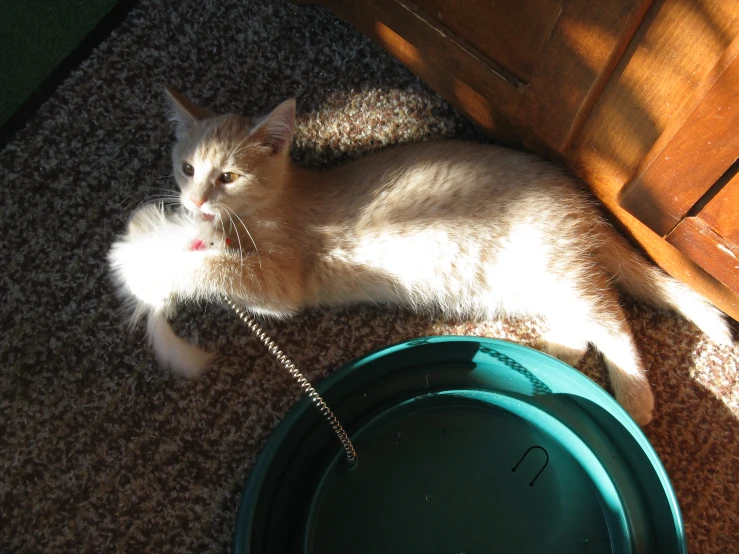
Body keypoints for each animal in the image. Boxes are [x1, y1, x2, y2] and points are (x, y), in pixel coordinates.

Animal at [107, 89, 732, 422]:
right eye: (187, 167)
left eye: (228, 176)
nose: (193, 201)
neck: (278, 199)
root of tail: (582, 202)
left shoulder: (283, 285)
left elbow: (221, 270)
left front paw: (155, 265)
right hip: (532, 281)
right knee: (581, 324)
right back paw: (552, 353)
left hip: (553, 268)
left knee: (612, 315)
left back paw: (635, 394)